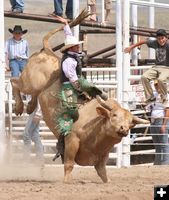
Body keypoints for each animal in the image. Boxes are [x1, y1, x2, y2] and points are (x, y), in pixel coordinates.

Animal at [10, 10, 149, 183]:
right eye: (114, 115)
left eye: (131, 122)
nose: (123, 129)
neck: (96, 125)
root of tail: (47, 51)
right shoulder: (71, 141)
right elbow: (69, 165)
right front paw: (66, 182)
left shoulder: (102, 156)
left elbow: (103, 173)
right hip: (29, 82)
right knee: (14, 82)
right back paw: (19, 107)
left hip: (36, 88)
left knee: (32, 95)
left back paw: (29, 107)